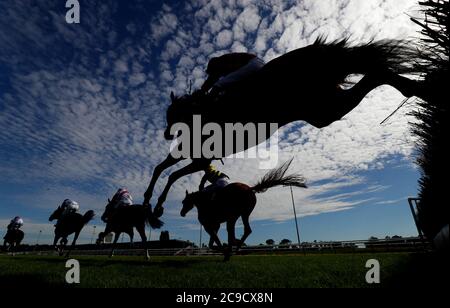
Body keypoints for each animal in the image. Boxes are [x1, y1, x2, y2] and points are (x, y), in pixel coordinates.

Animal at [144, 38, 422, 217]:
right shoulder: (192, 156)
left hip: (325, 109)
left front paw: (157, 205)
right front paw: (150, 202)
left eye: (172, 114)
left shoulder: (201, 160)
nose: (166, 134)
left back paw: (416, 88)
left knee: (376, 74)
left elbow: (171, 175)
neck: (202, 114)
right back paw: (416, 87)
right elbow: (161, 169)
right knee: (376, 73)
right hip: (323, 109)